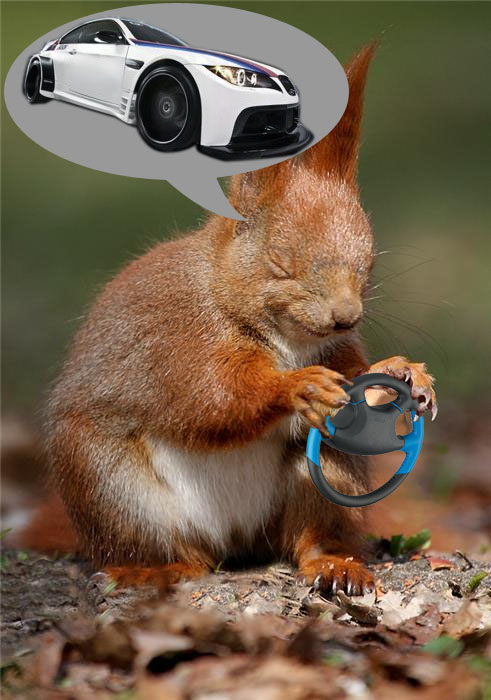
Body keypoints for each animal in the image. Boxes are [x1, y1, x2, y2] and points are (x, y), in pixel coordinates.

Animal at [19, 44, 437, 595]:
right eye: (280, 263)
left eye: (369, 263)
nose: (346, 317)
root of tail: (235, 542)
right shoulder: (181, 338)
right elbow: (212, 400)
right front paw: (297, 387)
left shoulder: (339, 350)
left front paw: (401, 373)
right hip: (110, 484)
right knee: (169, 550)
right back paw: (152, 569)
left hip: (324, 477)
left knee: (310, 534)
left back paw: (334, 563)